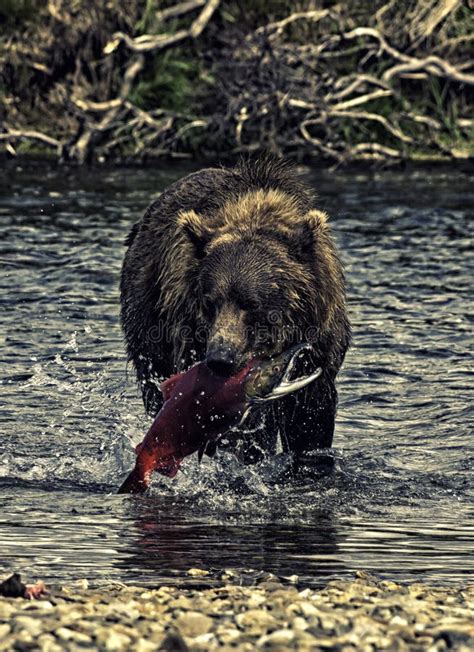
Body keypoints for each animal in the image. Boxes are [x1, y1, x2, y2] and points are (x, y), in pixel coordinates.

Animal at [120, 160, 350, 472]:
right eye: (209, 301)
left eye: (252, 303)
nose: (220, 359)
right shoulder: (191, 339)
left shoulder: (319, 348)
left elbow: (310, 420)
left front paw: (311, 461)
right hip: (147, 323)